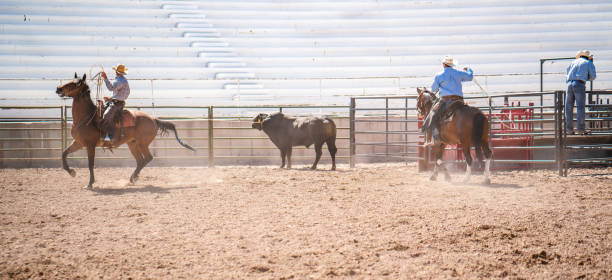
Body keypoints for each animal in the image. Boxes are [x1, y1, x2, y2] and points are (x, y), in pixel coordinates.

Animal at [56, 73, 194, 189]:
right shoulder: (78, 142)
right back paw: (133, 178)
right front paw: (72, 172)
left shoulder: (90, 145)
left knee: (147, 158)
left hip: (142, 143)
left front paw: (90, 184)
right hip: (132, 143)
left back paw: (133, 177)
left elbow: (90, 164)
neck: (85, 117)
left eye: (74, 84)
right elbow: (64, 153)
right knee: (140, 160)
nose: (58, 89)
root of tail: (153, 119)